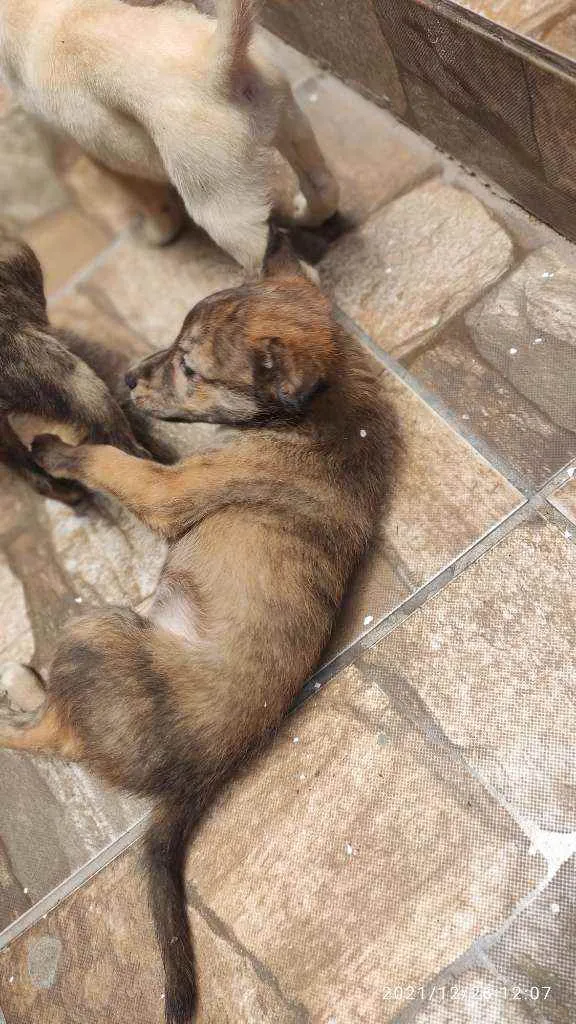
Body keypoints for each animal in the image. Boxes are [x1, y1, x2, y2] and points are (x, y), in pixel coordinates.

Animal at [0, 0, 338, 272]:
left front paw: (158, 233)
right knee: (322, 190)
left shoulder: (99, 154)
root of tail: (215, 67)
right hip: (292, 127)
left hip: (224, 211)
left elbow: (148, 202)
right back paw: (305, 214)